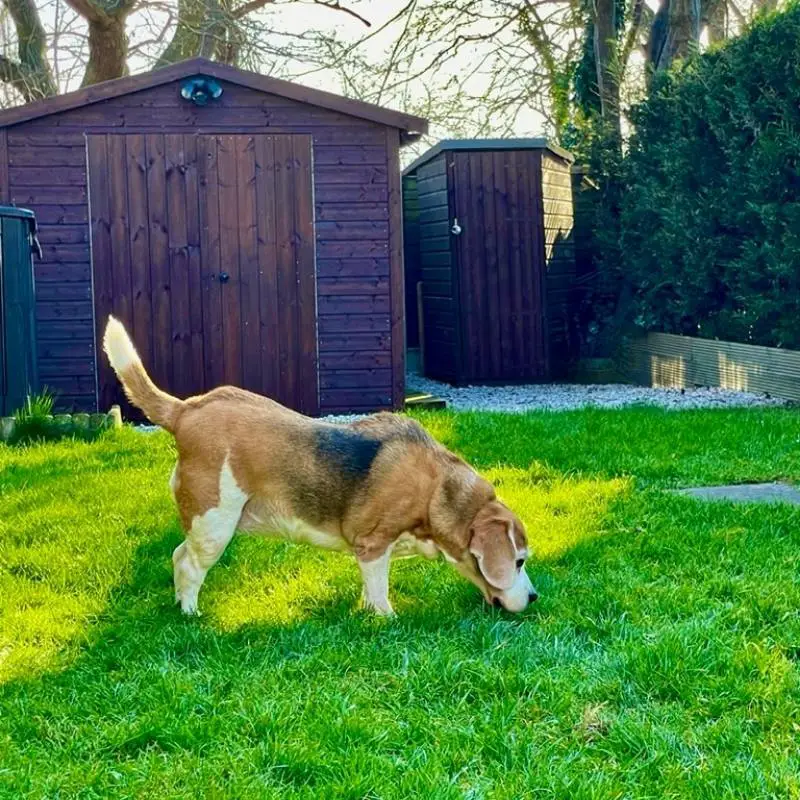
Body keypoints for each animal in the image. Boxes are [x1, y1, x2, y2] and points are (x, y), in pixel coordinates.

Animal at [100, 316, 536, 616]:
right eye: (518, 561)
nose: (534, 596)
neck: (437, 492)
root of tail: (186, 411)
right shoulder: (373, 545)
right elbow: (380, 592)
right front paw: (386, 619)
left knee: (178, 556)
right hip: (214, 523)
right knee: (188, 564)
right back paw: (192, 614)